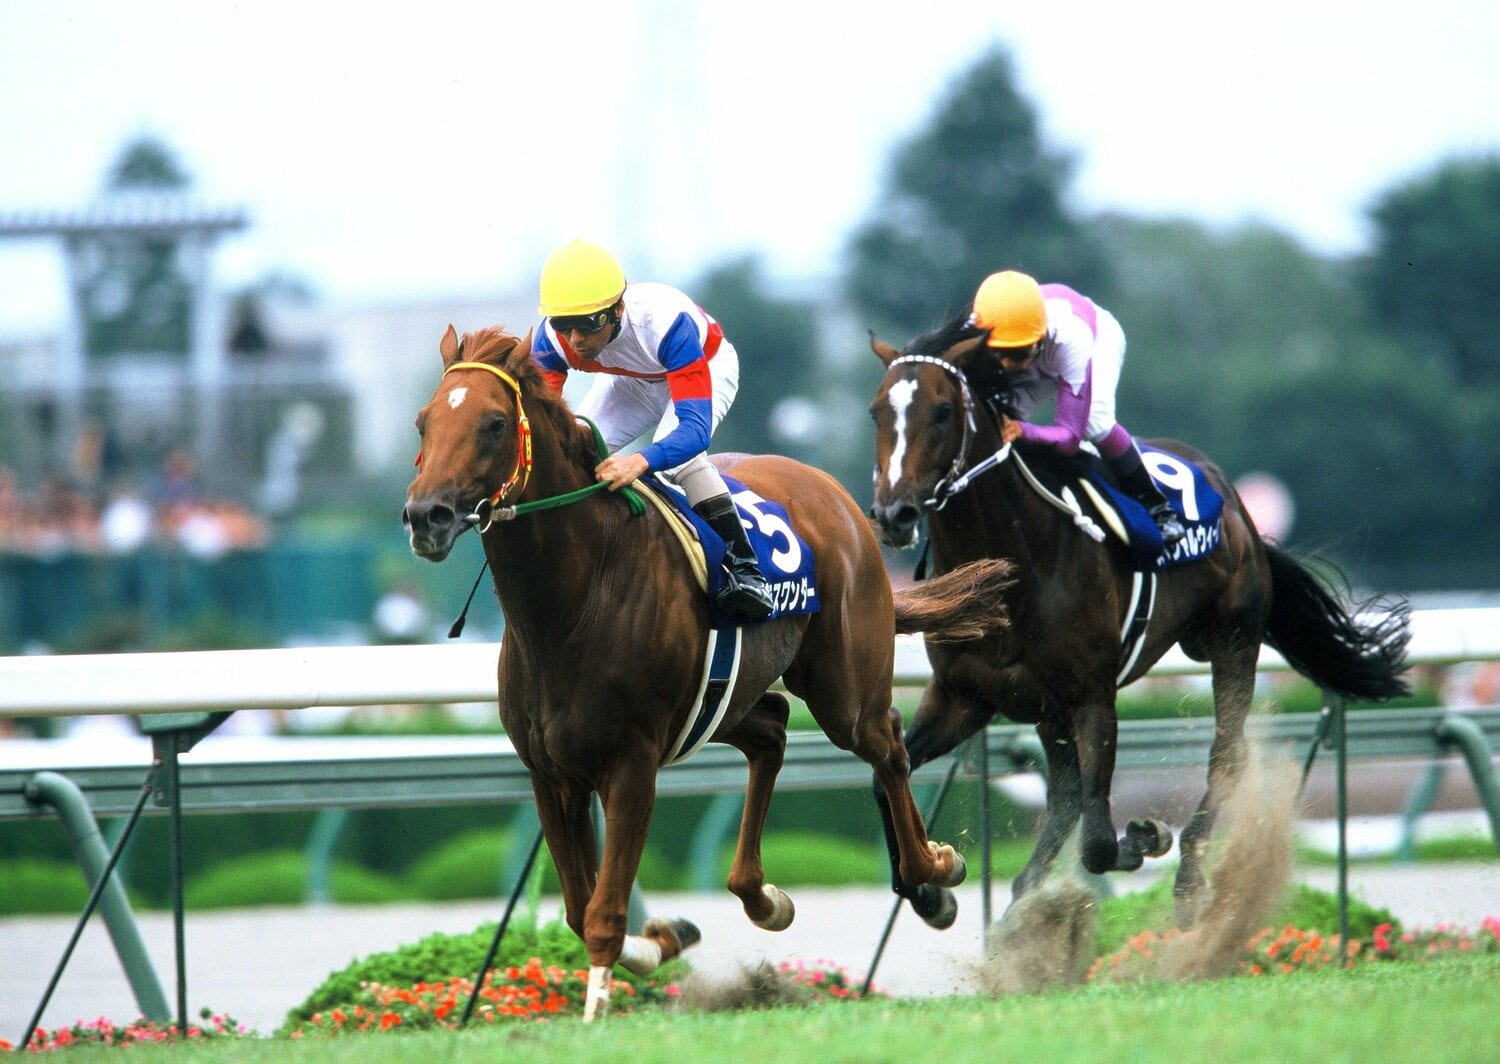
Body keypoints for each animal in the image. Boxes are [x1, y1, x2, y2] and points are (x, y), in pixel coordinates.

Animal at [402, 325, 1008, 1020]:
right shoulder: (550, 773)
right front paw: (662, 939)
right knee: (774, 728)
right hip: (724, 700)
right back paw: (764, 896)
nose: (426, 516)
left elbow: (603, 914)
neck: (573, 602)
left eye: (495, 424)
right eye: (423, 422)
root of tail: (838, 496)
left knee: (888, 743)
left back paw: (934, 871)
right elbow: (580, 911)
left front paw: (596, 1010)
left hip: (844, 690)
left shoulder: (631, 762)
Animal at [864, 310, 1410, 924]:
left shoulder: (1092, 696)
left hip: (1232, 640)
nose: (893, 513)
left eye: (941, 411)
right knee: (1065, 796)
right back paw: (1026, 896)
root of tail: (1234, 501)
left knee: (1227, 755)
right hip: (1050, 704)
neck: (1018, 562)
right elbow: (889, 778)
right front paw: (931, 892)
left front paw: (1146, 837)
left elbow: (1100, 841)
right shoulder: (965, 694)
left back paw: (1188, 876)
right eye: (877, 411)